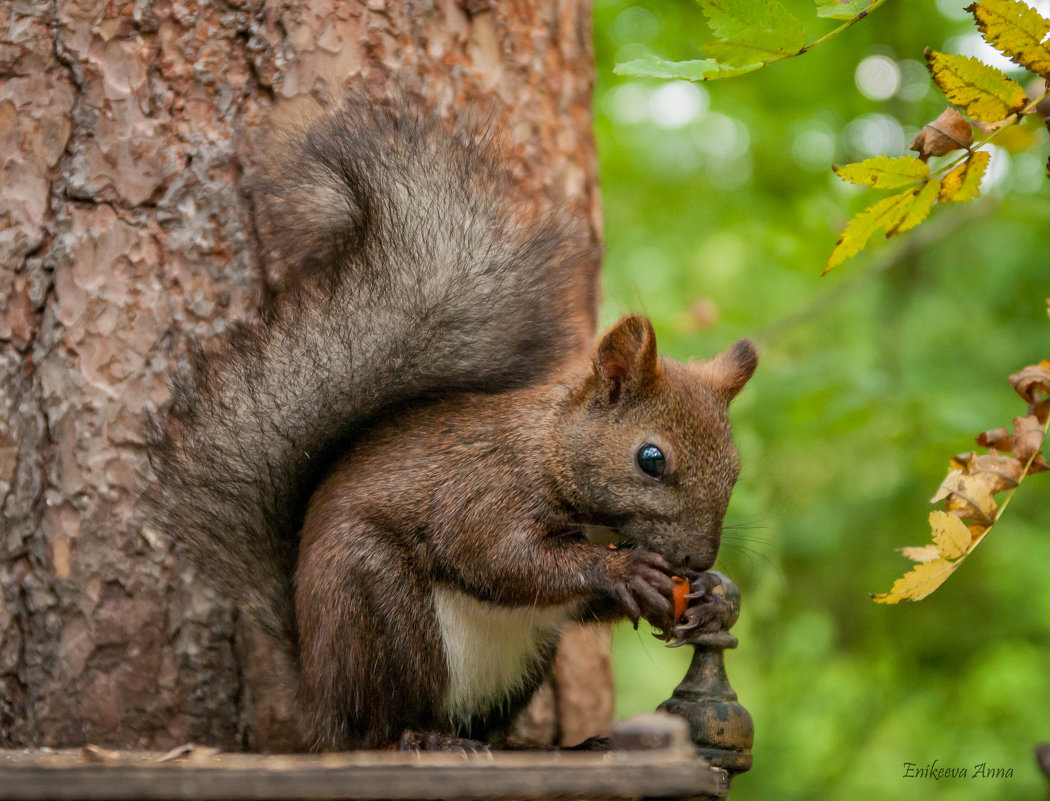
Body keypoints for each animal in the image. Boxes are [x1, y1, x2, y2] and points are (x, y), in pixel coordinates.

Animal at [145, 93, 755, 751]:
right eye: (651, 459)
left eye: (736, 469)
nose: (696, 558)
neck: (550, 451)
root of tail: (316, 693)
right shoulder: (484, 490)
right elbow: (504, 559)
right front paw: (624, 569)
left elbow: (576, 602)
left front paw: (711, 596)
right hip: (378, 603)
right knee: (378, 726)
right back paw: (423, 738)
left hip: (523, 658)